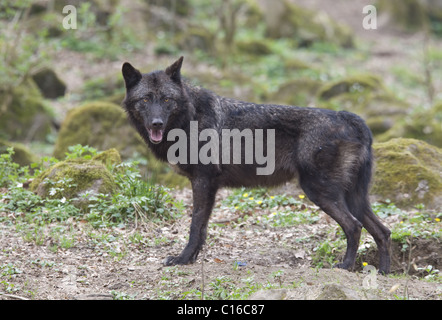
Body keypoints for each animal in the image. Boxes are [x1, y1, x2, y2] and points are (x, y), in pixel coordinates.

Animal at [121, 56, 390, 274]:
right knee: (383, 231)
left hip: (320, 192)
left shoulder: (203, 181)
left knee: (354, 227)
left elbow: (195, 226)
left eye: (167, 99)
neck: (190, 118)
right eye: (145, 99)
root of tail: (349, 117)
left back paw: (345, 267)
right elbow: (203, 229)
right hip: (354, 198)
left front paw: (183, 259)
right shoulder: (208, 185)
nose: (156, 123)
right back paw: (385, 271)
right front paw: (192, 258)